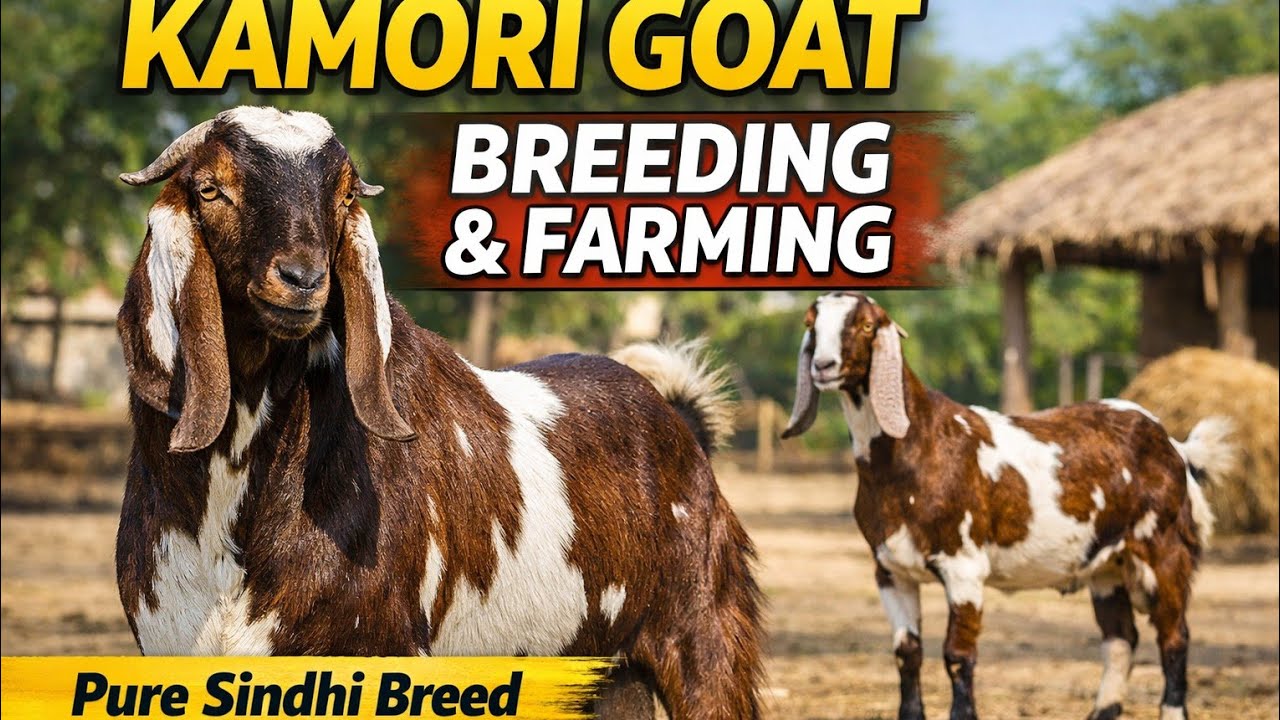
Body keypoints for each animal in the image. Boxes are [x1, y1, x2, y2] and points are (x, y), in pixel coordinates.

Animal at [114, 107, 762, 720]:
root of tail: (683, 425)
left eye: (344, 195)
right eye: (208, 188)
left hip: (702, 635)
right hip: (608, 673)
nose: (303, 280)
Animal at [782, 291, 1234, 720]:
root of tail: (1172, 444)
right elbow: (907, 653)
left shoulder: (963, 565)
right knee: (1121, 639)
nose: (823, 365)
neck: (914, 446)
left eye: (865, 325)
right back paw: (1101, 711)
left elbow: (958, 656)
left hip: (1163, 548)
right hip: (1107, 566)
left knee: (1173, 635)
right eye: (811, 323)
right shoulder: (890, 569)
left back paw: (1171, 711)